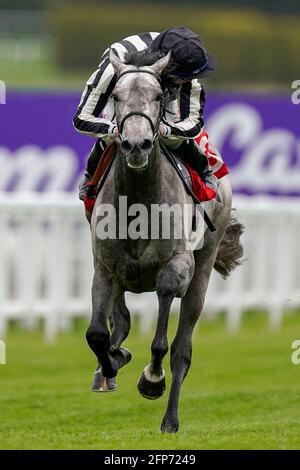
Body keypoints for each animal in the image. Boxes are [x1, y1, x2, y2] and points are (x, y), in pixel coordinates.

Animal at [85, 48, 244, 434]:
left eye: (159, 96)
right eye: (115, 96)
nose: (136, 144)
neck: (139, 202)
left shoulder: (178, 265)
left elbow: (161, 340)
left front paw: (150, 379)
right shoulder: (105, 268)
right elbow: (96, 333)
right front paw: (110, 364)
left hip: (204, 265)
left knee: (182, 349)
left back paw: (170, 419)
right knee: (121, 318)